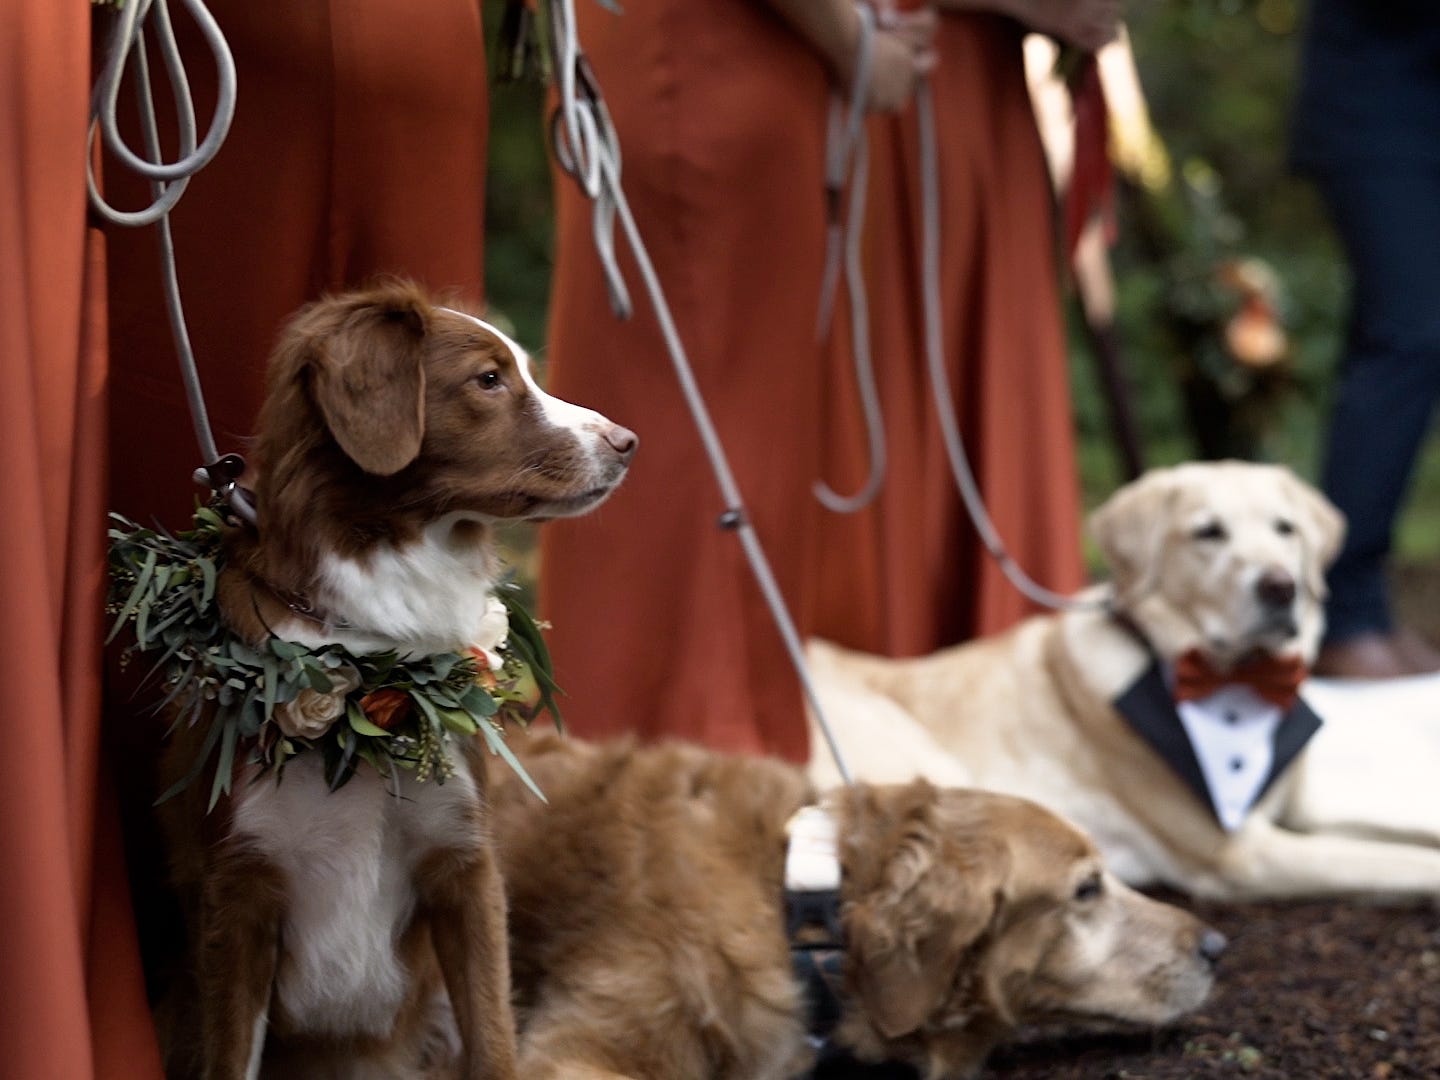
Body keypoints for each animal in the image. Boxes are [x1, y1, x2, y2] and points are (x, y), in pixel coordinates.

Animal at [153, 285, 636, 1080]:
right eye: (489, 379)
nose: (628, 442)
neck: (375, 648)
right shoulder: (239, 889)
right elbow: (230, 1060)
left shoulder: (463, 866)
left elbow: (494, 1044)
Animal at [806, 466, 1440, 904]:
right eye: (1208, 533)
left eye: (1286, 529)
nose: (1281, 586)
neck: (1242, 682)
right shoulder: (1243, 853)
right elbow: (1401, 861)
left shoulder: (1299, 810)